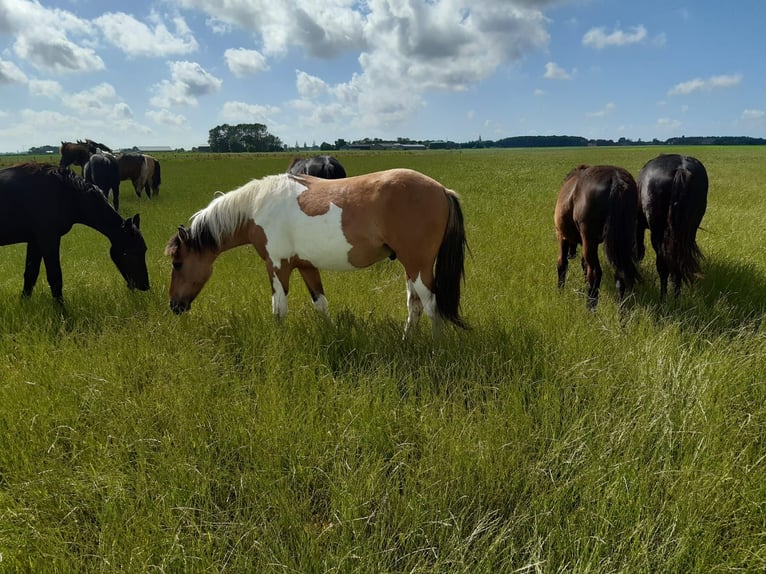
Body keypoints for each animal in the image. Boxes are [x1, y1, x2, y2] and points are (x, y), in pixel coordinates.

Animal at [0, 164, 152, 304]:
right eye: (129, 252)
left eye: (144, 250)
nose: (145, 285)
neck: (65, 193)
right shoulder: (48, 239)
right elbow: (55, 278)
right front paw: (62, 313)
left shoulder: (35, 241)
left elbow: (30, 275)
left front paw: (24, 304)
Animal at [165, 168, 472, 338]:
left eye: (178, 263)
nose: (174, 306)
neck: (257, 206)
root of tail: (441, 190)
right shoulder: (306, 265)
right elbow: (320, 304)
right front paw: (332, 334)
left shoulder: (277, 266)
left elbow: (279, 309)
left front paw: (278, 342)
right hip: (410, 266)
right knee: (415, 306)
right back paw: (406, 341)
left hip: (418, 265)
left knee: (431, 306)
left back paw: (435, 348)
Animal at [556, 165, 644, 310]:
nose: (572, 254)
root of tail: (616, 179)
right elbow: (583, 264)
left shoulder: (561, 235)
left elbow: (562, 264)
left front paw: (560, 292)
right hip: (622, 241)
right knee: (620, 274)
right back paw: (621, 311)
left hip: (589, 240)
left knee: (595, 273)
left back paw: (591, 308)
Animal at [632, 155, 712, 304]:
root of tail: (682, 169)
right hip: (687, 232)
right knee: (678, 264)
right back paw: (677, 300)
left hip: (657, 234)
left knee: (663, 266)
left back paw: (663, 300)